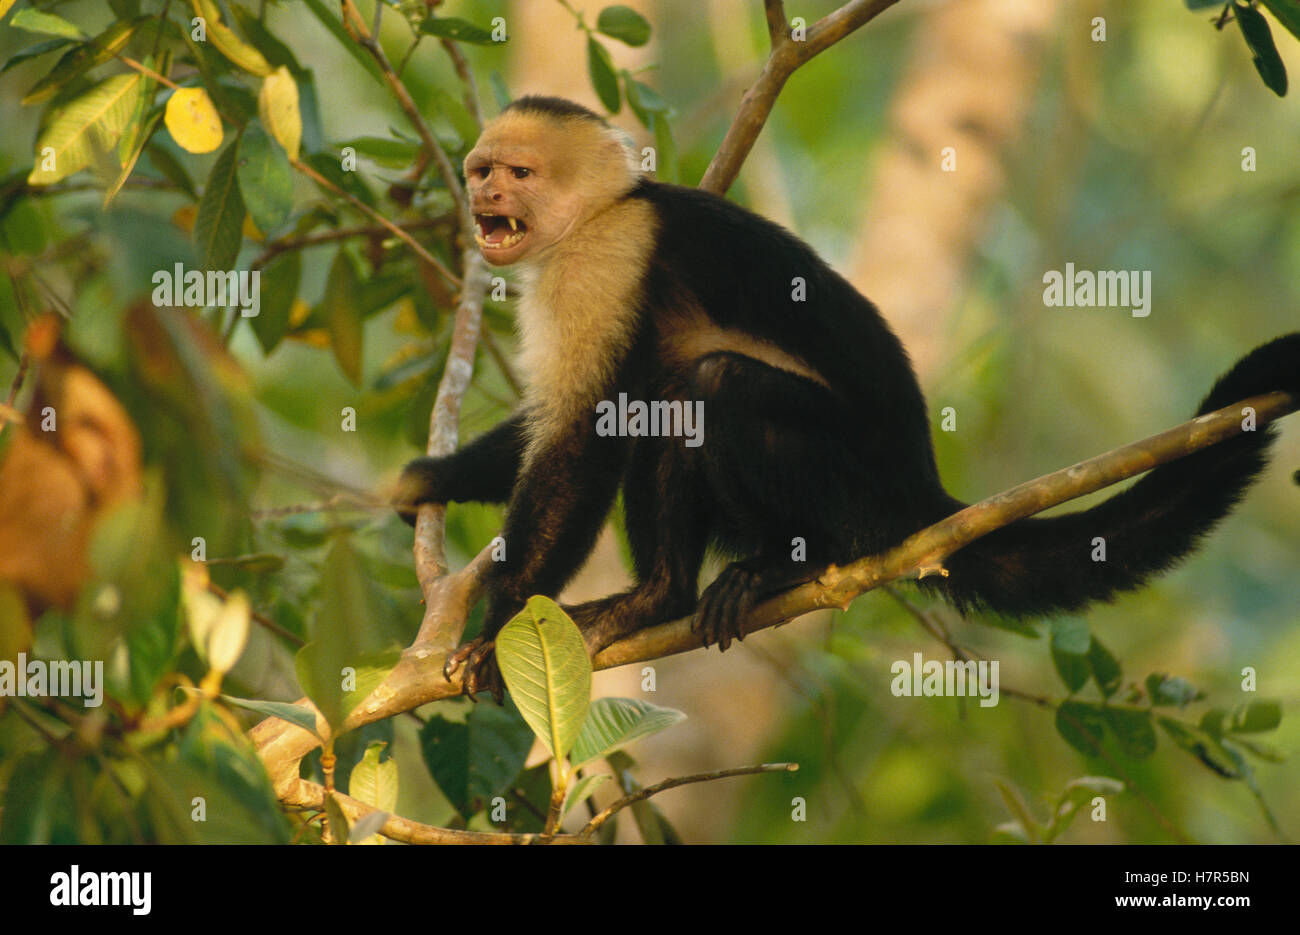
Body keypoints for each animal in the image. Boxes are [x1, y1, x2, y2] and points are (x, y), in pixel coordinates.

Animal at [395, 96, 1300, 699]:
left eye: (518, 172)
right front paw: (434, 479)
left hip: (859, 487)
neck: (601, 211)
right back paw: (674, 593)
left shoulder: (605, 259)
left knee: (707, 385)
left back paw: (741, 575)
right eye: (482, 170)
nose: (485, 195)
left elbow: (587, 431)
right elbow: (564, 419)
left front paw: (496, 627)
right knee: (671, 394)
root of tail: (923, 491)